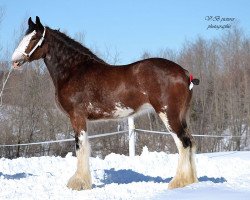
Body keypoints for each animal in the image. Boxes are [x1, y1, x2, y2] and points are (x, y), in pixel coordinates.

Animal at [11, 16, 199, 190]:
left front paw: (79, 183)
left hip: (168, 114)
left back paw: (178, 182)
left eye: (34, 38)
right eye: (25, 36)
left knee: (183, 143)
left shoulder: (77, 116)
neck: (74, 70)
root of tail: (184, 73)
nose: (15, 61)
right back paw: (190, 181)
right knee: (190, 142)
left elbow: (81, 146)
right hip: (180, 116)